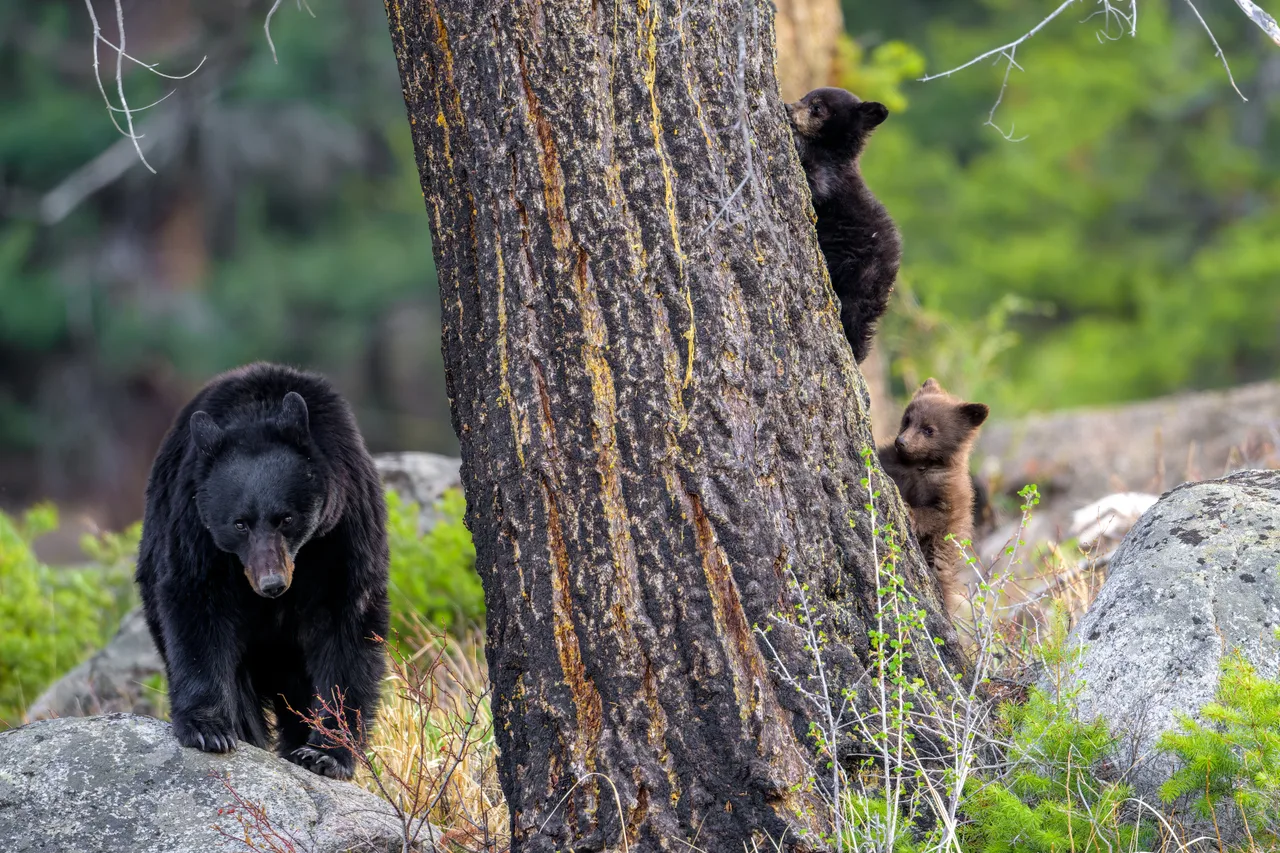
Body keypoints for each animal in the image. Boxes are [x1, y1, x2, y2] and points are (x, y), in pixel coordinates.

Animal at [135, 362, 389, 780]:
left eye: (285, 518)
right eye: (239, 523)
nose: (272, 584)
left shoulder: (344, 526)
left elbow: (348, 620)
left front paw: (325, 752)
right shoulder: (193, 520)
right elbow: (196, 601)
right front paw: (209, 730)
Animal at [786, 86, 902, 364]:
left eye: (817, 107)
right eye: (805, 97)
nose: (787, 107)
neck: (834, 154)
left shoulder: (831, 177)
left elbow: (815, 185)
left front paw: (796, 139)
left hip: (861, 276)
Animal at [877, 378, 990, 610]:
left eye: (929, 429)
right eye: (907, 419)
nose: (901, 442)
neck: (919, 466)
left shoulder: (950, 492)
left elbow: (936, 514)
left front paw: (910, 513)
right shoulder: (892, 464)